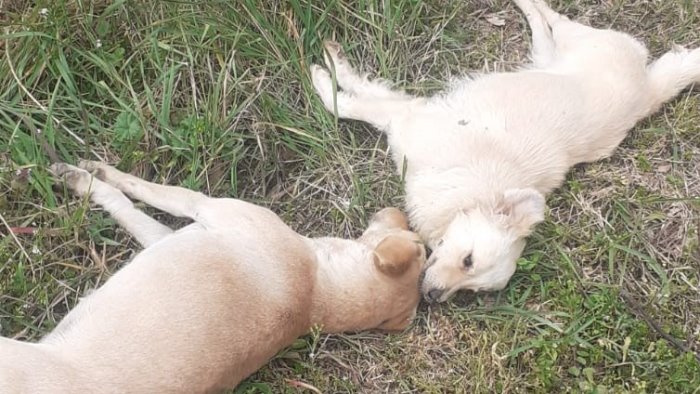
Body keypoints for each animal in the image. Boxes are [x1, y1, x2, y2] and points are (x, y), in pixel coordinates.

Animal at [0, 161, 426, 394]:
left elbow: (134, 189)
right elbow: (125, 207)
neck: (318, 292)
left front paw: (89, 174)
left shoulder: (202, 206)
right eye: (421, 246)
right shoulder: (168, 235)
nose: (399, 211)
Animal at [310, 0, 700, 302]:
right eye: (468, 260)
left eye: (472, 290)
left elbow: (352, 98)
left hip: (550, 56)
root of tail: (648, 91)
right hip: (578, 40)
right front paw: (323, 74)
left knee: (544, 26)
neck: (473, 185)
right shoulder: (405, 115)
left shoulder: (403, 115)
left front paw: (327, 72)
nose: (433, 297)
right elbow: (344, 101)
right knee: (554, 17)